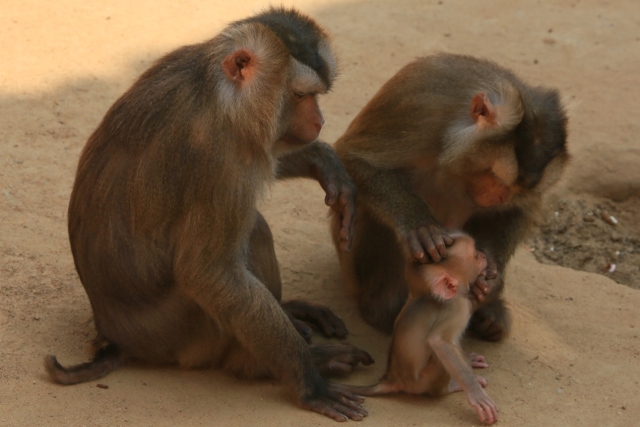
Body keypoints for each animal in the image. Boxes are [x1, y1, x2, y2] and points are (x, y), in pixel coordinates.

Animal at [342, 234, 498, 424]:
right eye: (475, 256)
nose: (483, 256)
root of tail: (392, 378)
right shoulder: (459, 307)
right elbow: (440, 342)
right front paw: (476, 394)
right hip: (422, 382)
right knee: (438, 359)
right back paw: (450, 387)